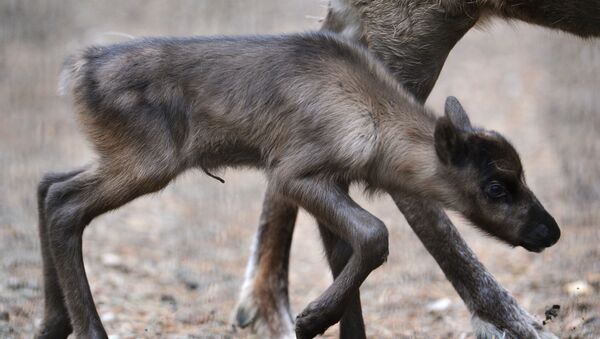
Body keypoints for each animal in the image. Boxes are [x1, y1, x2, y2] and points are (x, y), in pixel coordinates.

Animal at [37, 32, 560, 339]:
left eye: (521, 174)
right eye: (496, 187)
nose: (549, 231)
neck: (378, 131)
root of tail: (75, 71)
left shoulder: (333, 182)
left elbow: (350, 257)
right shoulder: (292, 171)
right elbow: (375, 234)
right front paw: (309, 319)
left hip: (121, 157)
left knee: (47, 184)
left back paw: (52, 323)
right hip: (149, 161)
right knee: (64, 203)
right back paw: (87, 330)